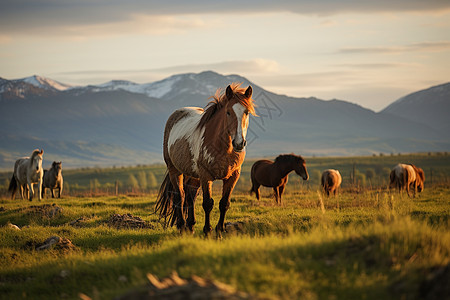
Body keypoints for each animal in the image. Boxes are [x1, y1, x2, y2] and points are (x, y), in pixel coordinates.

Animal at [156, 82, 256, 237]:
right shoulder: (205, 175)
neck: (223, 147)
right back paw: (181, 226)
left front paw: (219, 231)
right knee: (180, 196)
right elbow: (208, 203)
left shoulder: (233, 176)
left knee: (190, 196)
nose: (239, 143)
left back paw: (190, 226)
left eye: (247, 112)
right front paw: (207, 231)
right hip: (175, 170)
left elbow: (224, 203)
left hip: (193, 175)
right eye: (228, 112)